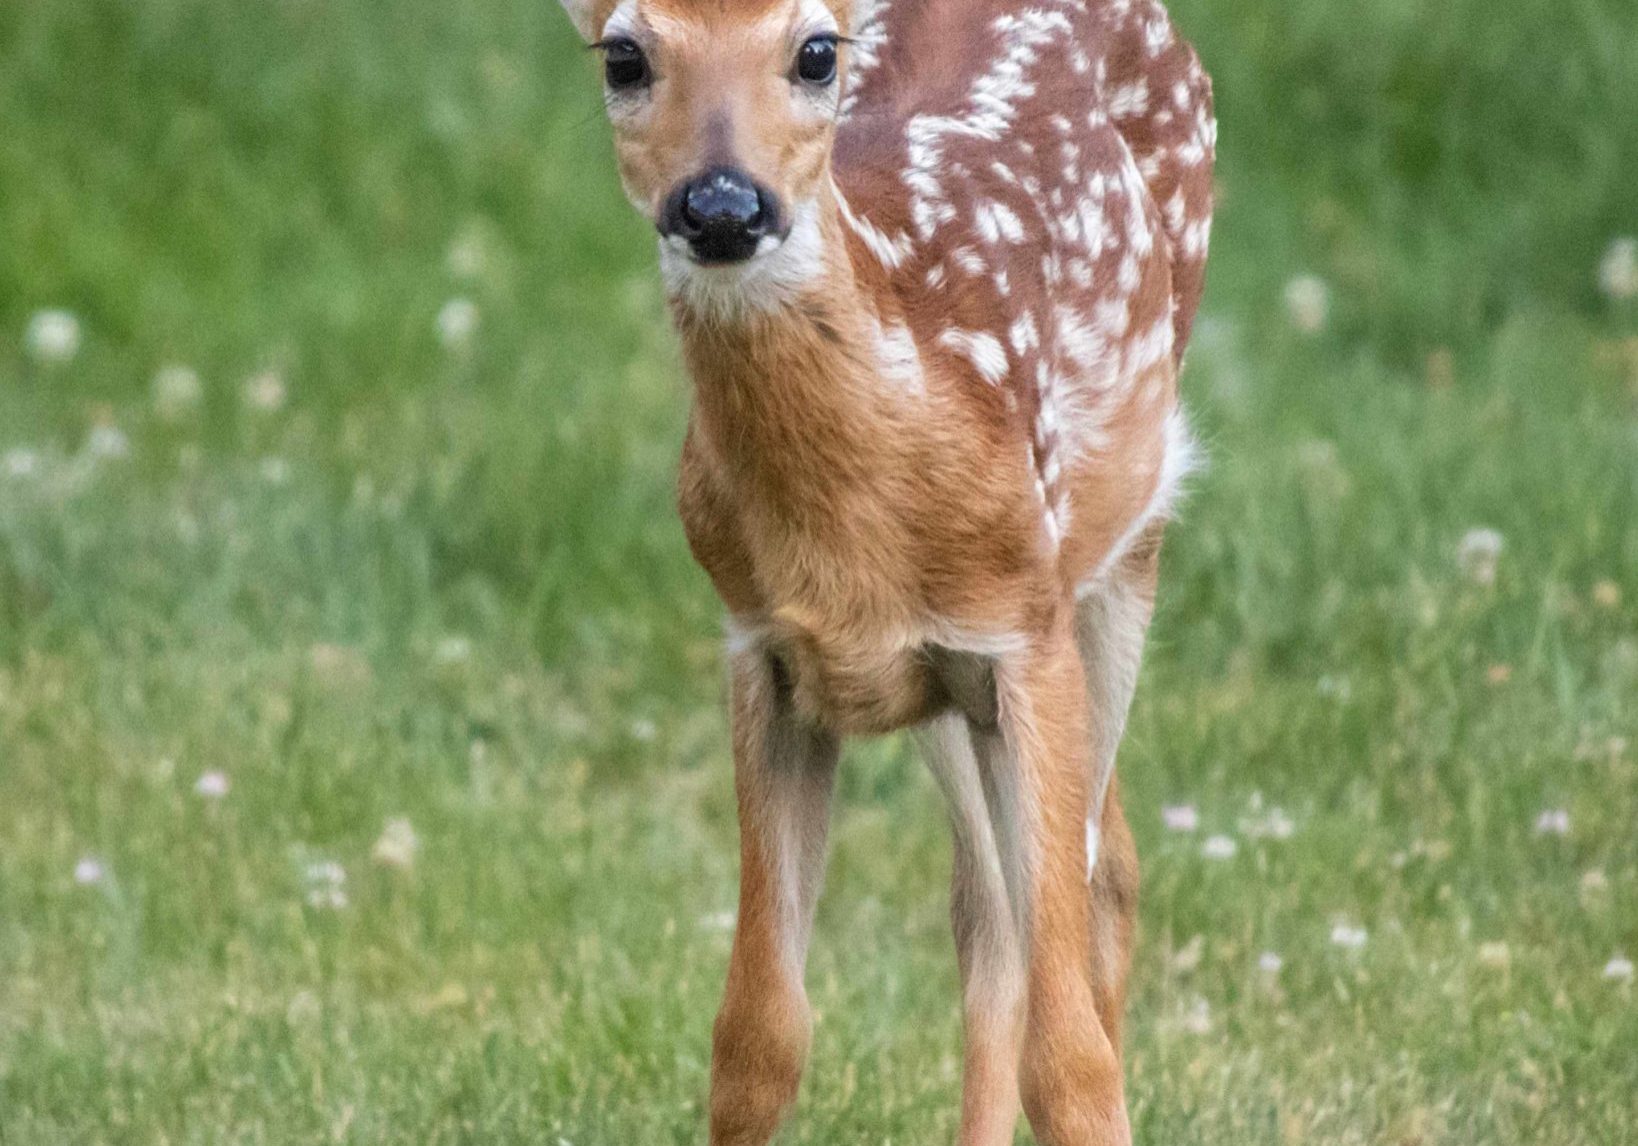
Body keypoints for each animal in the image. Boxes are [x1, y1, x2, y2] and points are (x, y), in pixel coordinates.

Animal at [551, 0, 1214, 1139]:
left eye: (816, 52)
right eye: (625, 55)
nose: (720, 204)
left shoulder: (1022, 634)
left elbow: (1071, 1062)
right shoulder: (765, 650)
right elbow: (757, 1037)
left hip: (1124, 546)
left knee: (1095, 882)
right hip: (946, 695)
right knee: (990, 908)